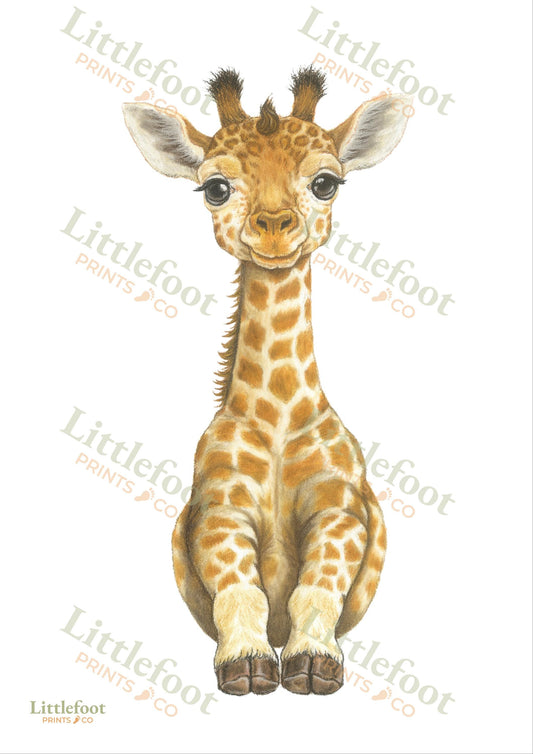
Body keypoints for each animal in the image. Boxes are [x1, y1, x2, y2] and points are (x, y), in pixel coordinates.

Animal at [123, 67, 410, 696]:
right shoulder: (219, 508)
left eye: (326, 183)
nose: (275, 229)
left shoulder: (340, 507)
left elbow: (317, 586)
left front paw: (313, 664)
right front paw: (247, 664)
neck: (278, 419)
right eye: (215, 188)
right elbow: (241, 588)